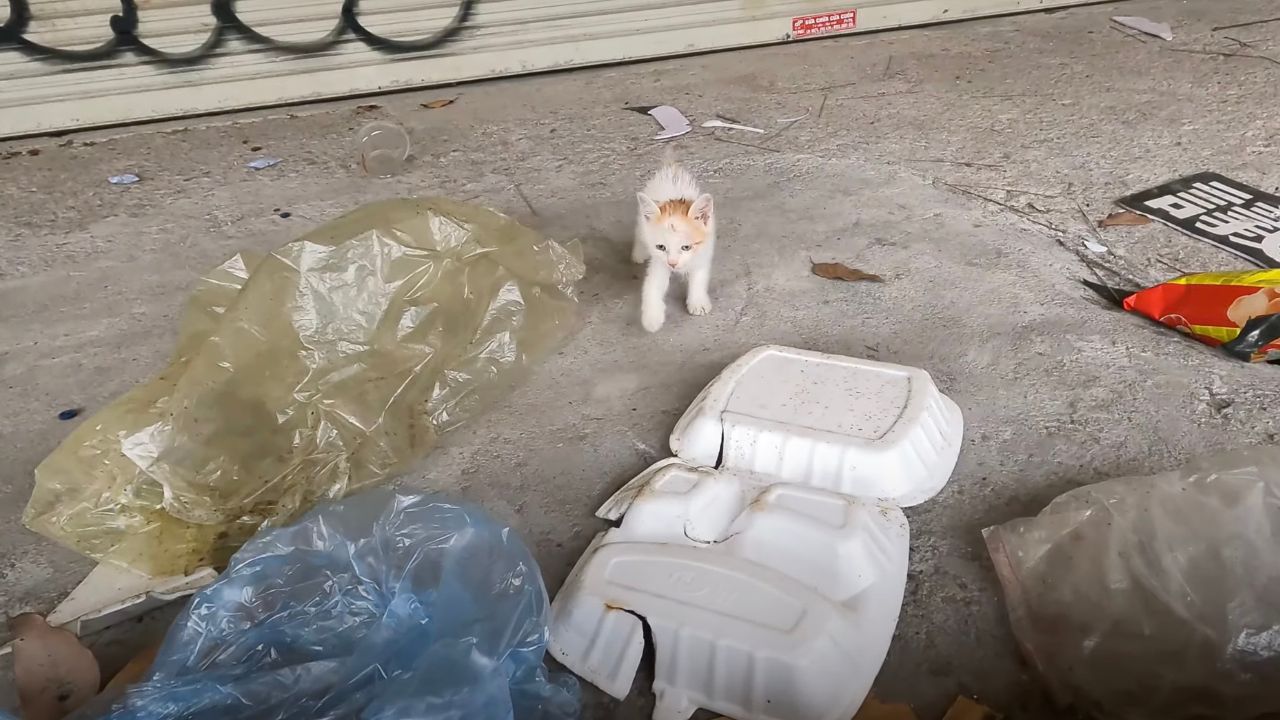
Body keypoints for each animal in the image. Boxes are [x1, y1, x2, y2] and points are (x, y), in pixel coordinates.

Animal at [632, 158, 716, 333]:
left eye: (686, 247)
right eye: (661, 247)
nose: (672, 264)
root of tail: (671, 168)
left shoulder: (704, 253)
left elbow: (699, 276)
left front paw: (698, 301)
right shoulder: (659, 261)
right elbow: (652, 285)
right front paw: (652, 318)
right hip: (642, 221)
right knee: (639, 231)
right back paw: (638, 253)